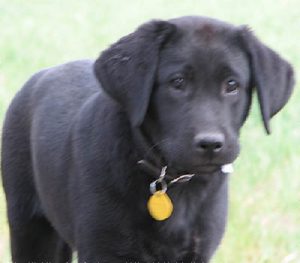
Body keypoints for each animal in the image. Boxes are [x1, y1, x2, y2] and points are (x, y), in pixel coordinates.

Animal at [1, 16, 294, 263]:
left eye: (232, 85)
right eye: (178, 82)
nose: (211, 144)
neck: (171, 183)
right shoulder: (103, 249)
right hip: (29, 226)